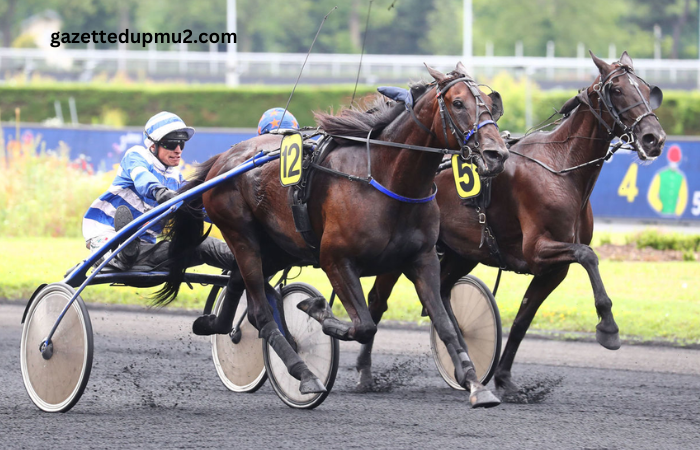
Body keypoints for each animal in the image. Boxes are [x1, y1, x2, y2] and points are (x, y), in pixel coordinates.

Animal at [157, 61, 508, 406]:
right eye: (458, 103)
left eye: (489, 103)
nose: (497, 154)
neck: (387, 179)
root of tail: (223, 159)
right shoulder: (335, 259)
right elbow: (364, 325)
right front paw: (316, 309)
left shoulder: (422, 259)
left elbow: (445, 323)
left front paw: (475, 383)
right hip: (241, 235)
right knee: (260, 311)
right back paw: (304, 374)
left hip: (277, 246)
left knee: (238, 284)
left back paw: (215, 324)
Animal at [360, 52, 668, 396]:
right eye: (616, 89)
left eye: (646, 89)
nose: (653, 138)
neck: (560, 167)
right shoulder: (538, 249)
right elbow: (588, 255)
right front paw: (608, 328)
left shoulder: (553, 269)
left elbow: (523, 319)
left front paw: (505, 379)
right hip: (403, 251)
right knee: (378, 300)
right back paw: (365, 373)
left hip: (461, 252)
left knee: (441, 291)